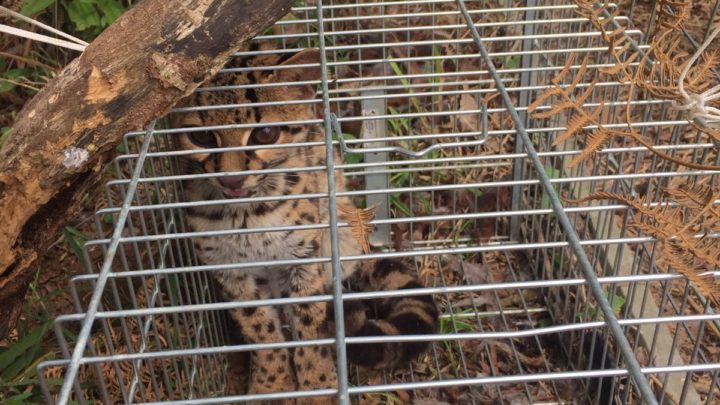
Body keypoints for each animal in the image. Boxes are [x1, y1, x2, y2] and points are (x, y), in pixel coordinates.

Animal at [172, 45, 436, 402]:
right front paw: (271, 386)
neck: (246, 216)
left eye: (265, 133)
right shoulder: (228, 270)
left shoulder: (305, 257)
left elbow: (311, 329)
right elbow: (260, 331)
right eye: (200, 136)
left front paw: (317, 388)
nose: (231, 179)